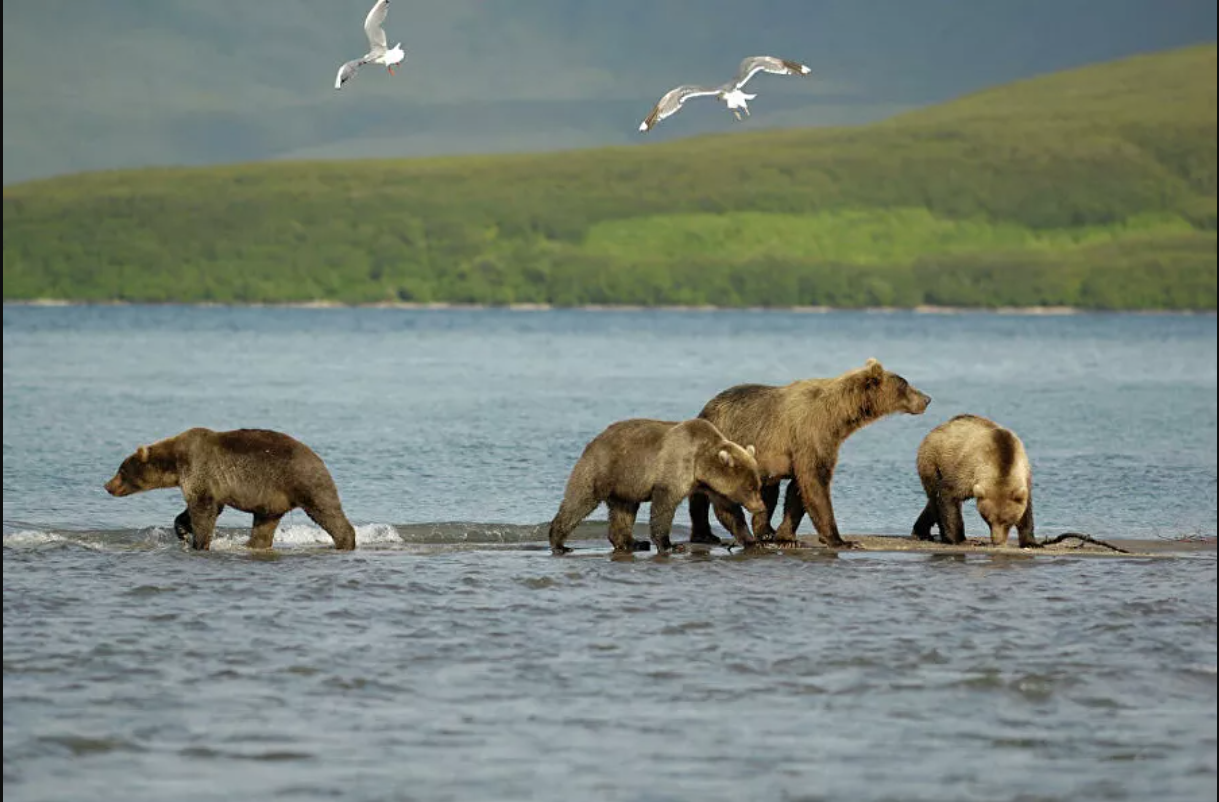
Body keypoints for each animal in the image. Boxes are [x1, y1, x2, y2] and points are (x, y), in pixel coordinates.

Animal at [104, 424, 355, 550]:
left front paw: (199, 542)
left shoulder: (199, 468)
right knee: (264, 525)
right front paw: (182, 530)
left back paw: (345, 540)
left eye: (121, 471)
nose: (107, 486)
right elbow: (201, 508)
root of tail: (318, 458)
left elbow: (203, 509)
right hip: (272, 499)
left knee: (326, 510)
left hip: (304, 480)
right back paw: (251, 544)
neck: (174, 462)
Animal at [550, 414, 760, 553]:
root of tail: (595, 439)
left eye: (757, 484)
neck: (700, 465)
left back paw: (632, 543)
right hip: (602, 468)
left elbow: (729, 511)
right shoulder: (676, 467)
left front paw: (752, 540)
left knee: (623, 511)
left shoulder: (712, 487)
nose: (760, 506)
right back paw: (559, 543)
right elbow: (664, 506)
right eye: (750, 486)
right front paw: (670, 545)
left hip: (626, 483)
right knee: (579, 501)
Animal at [687, 358, 931, 546]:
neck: (839, 418)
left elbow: (798, 491)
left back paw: (762, 532)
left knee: (765, 490)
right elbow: (815, 483)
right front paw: (841, 540)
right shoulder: (812, 435)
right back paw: (711, 534)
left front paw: (787, 537)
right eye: (905, 384)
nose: (927, 399)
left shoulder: (808, 446)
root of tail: (706, 408)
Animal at [911, 411, 1033, 543]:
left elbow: (1026, 511)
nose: (996, 541)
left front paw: (1031, 541)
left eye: (1006, 521)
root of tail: (937, 428)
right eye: (988, 520)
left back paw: (921, 531)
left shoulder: (1024, 476)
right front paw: (956, 538)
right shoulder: (969, 471)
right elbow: (949, 493)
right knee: (935, 497)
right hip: (933, 462)